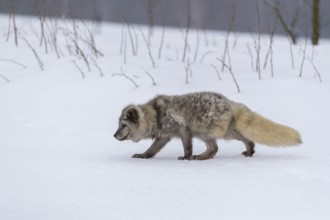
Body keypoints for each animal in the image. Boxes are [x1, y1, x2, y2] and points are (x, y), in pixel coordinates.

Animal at [114, 91, 302, 160]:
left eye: (123, 125)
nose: (114, 136)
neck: (155, 114)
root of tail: (230, 103)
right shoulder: (164, 136)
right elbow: (152, 150)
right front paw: (143, 156)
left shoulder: (183, 129)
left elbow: (187, 147)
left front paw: (186, 157)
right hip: (229, 133)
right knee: (246, 141)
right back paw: (248, 152)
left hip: (204, 131)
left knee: (214, 148)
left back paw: (200, 157)